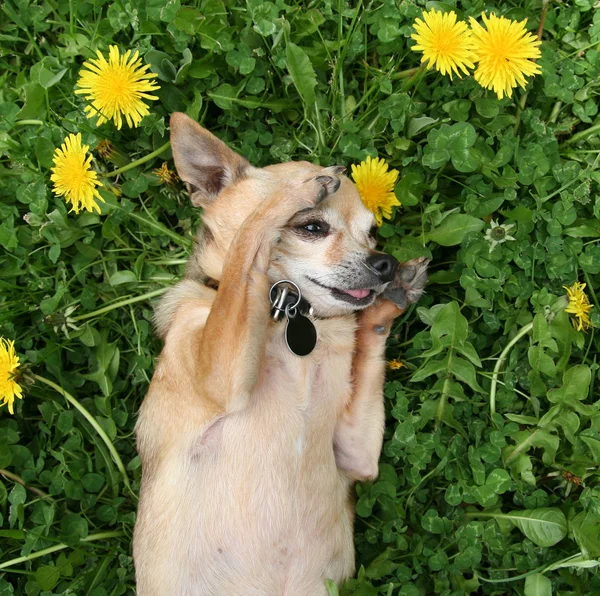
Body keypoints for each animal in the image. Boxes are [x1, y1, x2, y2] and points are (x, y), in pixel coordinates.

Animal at [134, 113, 428, 596]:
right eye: (310, 227)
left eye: (372, 234)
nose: (383, 262)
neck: (289, 316)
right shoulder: (220, 376)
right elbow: (247, 243)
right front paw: (297, 189)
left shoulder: (356, 454)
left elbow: (368, 346)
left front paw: (390, 301)